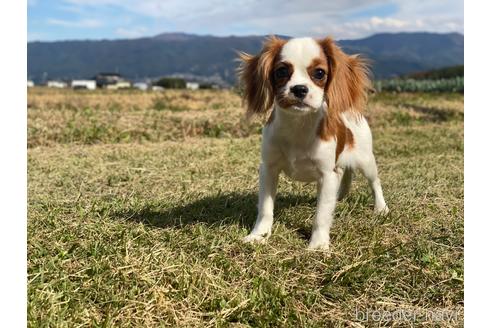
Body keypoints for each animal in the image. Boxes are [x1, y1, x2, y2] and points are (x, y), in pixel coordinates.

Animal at [238, 36, 388, 250]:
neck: (299, 124)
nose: (299, 88)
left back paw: (381, 207)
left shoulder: (326, 175)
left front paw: (317, 245)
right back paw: (340, 197)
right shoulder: (268, 168)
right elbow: (265, 208)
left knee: (375, 182)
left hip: (366, 160)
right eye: (281, 71)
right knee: (346, 173)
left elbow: (321, 215)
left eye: (319, 73)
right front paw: (259, 235)